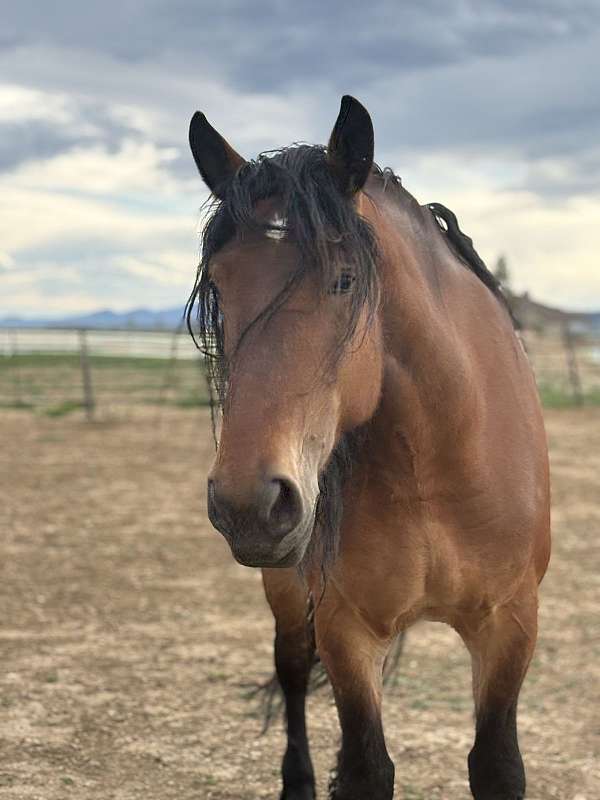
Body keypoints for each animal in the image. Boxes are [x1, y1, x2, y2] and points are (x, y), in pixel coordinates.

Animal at [186, 96, 551, 800]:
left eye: (345, 280)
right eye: (219, 282)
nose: (248, 504)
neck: (433, 462)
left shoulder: (510, 624)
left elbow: (497, 766)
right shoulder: (346, 626)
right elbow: (365, 768)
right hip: (286, 588)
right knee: (292, 672)